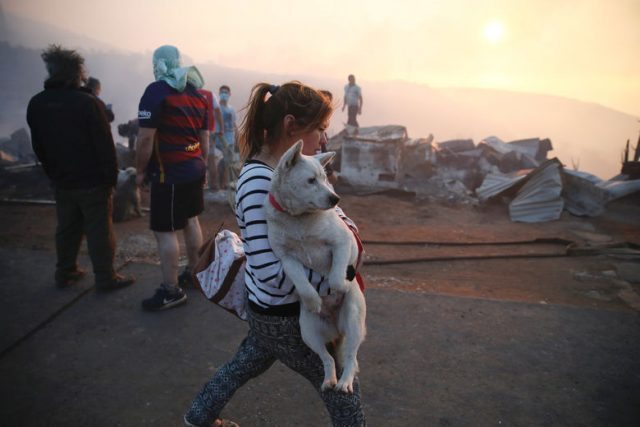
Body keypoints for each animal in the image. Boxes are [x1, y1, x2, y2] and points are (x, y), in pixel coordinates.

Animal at [264, 140, 364, 394]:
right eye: (311, 180)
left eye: (325, 179)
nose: (335, 199)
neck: (299, 219)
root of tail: (336, 328)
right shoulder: (286, 258)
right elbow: (301, 282)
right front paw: (314, 301)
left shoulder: (344, 242)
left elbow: (337, 276)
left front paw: (340, 286)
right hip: (308, 332)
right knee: (327, 358)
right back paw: (329, 380)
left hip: (353, 322)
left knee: (351, 358)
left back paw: (345, 382)